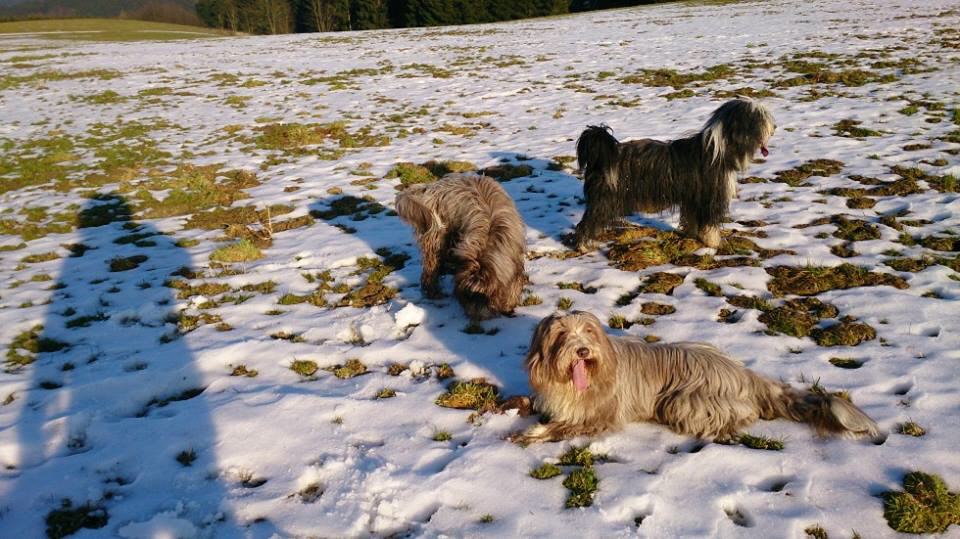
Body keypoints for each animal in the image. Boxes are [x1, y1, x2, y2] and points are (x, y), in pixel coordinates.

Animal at [395, 173, 526, 320]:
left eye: (486, 296)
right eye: (468, 295)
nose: (476, 315)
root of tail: (429, 187)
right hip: (436, 234)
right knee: (431, 267)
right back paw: (433, 291)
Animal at [512, 311, 882, 444]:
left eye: (588, 331)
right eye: (562, 334)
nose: (582, 351)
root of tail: (743, 373)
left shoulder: (602, 415)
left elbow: (566, 425)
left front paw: (534, 433)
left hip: (684, 399)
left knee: (740, 413)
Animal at [573, 98, 775, 250]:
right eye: (759, 116)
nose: (775, 127)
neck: (718, 149)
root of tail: (604, 155)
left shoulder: (692, 198)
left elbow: (692, 219)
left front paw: (692, 235)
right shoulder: (710, 196)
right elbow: (709, 224)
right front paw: (714, 243)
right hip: (605, 199)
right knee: (587, 222)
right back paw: (583, 245)